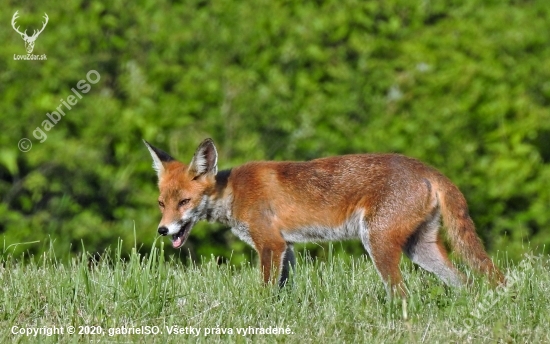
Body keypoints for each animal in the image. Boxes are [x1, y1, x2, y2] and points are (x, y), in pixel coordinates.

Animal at [144, 138, 506, 296]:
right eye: (162, 203)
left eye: (185, 202)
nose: (162, 230)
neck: (233, 191)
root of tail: (427, 168)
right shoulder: (286, 247)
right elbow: (283, 290)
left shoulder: (270, 244)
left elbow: (264, 291)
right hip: (421, 249)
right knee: (467, 283)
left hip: (378, 242)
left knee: (402, 293)